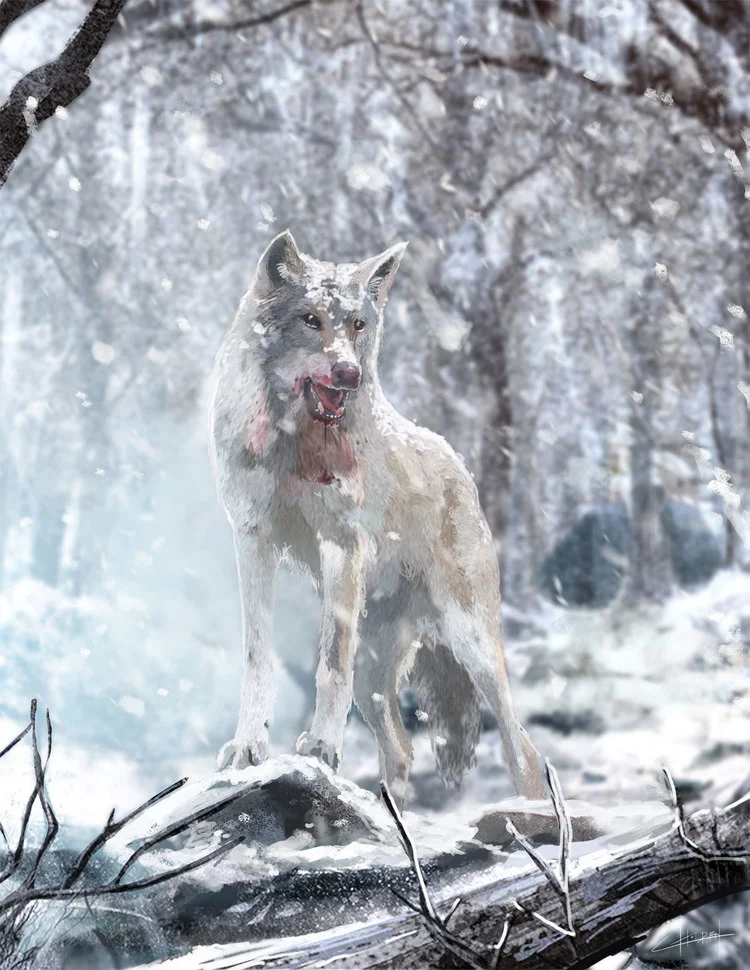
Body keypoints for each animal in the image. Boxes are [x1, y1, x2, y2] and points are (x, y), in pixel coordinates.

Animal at [208, 230, 545, 805]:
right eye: (311, 320)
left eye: (358, 325)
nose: (350, 373)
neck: (294, 444)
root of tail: (459, 464)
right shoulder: (252, 540)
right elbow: (258, 656)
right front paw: (248, 750)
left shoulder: (342, 543)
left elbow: (329, 665)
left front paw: (321, 748)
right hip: (377, 674)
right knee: (403, 750)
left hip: (472, 645)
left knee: (523, 747)